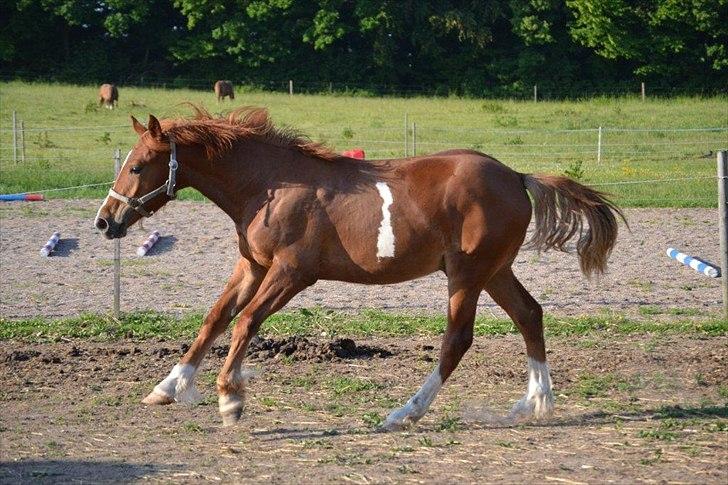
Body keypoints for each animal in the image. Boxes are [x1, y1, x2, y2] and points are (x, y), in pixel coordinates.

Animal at [94, 108, 624, 430]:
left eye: (137, 166)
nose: (105, 220)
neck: (268, 186)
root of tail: (516, 176)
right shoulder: (252, 266)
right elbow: (214, 319)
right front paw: (167, 387)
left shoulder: (291, 272)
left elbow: (245, 323)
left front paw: (230, 399)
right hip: (494, 272)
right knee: (530, 315)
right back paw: (536, 402)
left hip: (467, 275)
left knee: (457, 340)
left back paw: (404, 413)